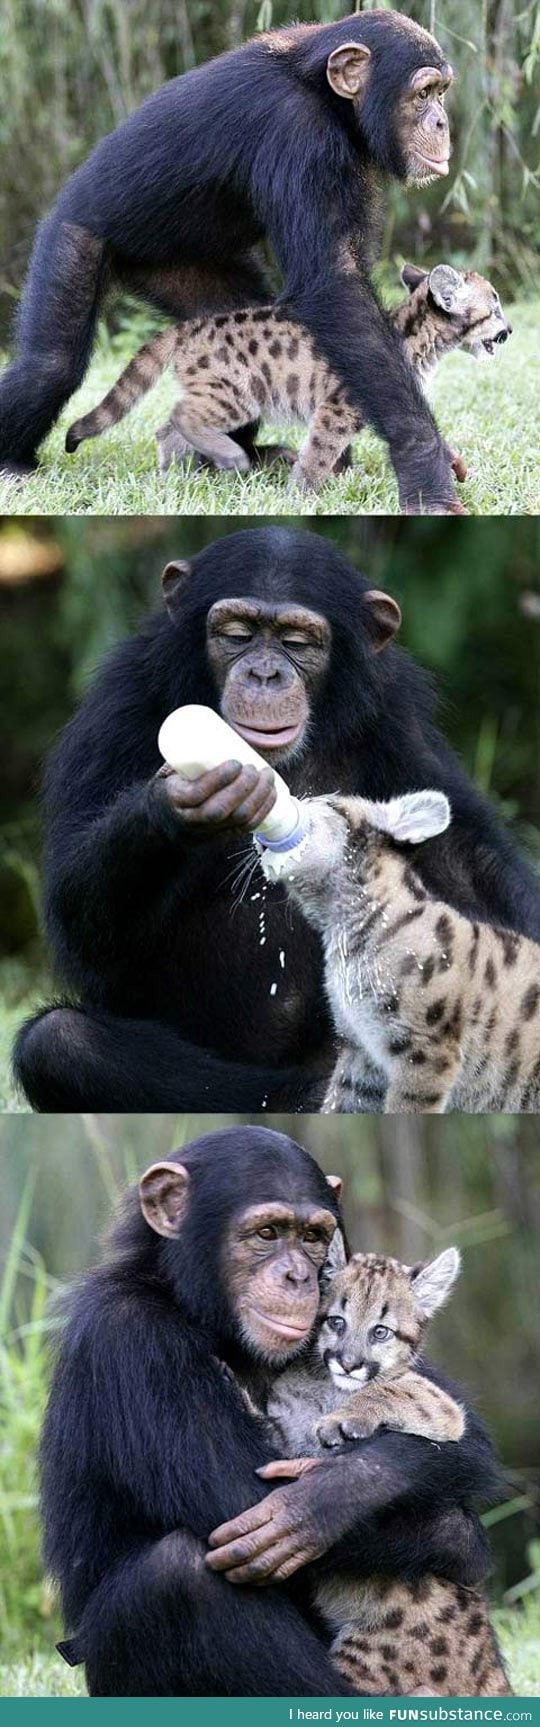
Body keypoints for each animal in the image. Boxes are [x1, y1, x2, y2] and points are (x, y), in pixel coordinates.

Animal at [1, 10, 458, 507]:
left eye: (441, 92)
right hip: (71, 236)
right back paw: (14, 461)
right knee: (49, 366)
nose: (442, 122)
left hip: (188, 272)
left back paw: (238, 455)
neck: (326, 95)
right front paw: (424, 463)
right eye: (422, 94)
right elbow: (333, 286)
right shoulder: (297, 133)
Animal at [13, 528, 538, 1119]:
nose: (264, 673)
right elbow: (80, 925)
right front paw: (175, 802)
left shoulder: (397, 716)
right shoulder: (115, 708)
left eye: (296, 642)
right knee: (59, 1042)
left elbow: (466, 863)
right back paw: (305, 1094)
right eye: (237, 635)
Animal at [43, 1126, 500, 1692]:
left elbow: (420, 1405)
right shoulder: (125, 1332)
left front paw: (332, 1482)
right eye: (267, 1233)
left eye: (311, 1237)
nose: (297, 1276)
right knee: (177, 1568)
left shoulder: (436, 1405)